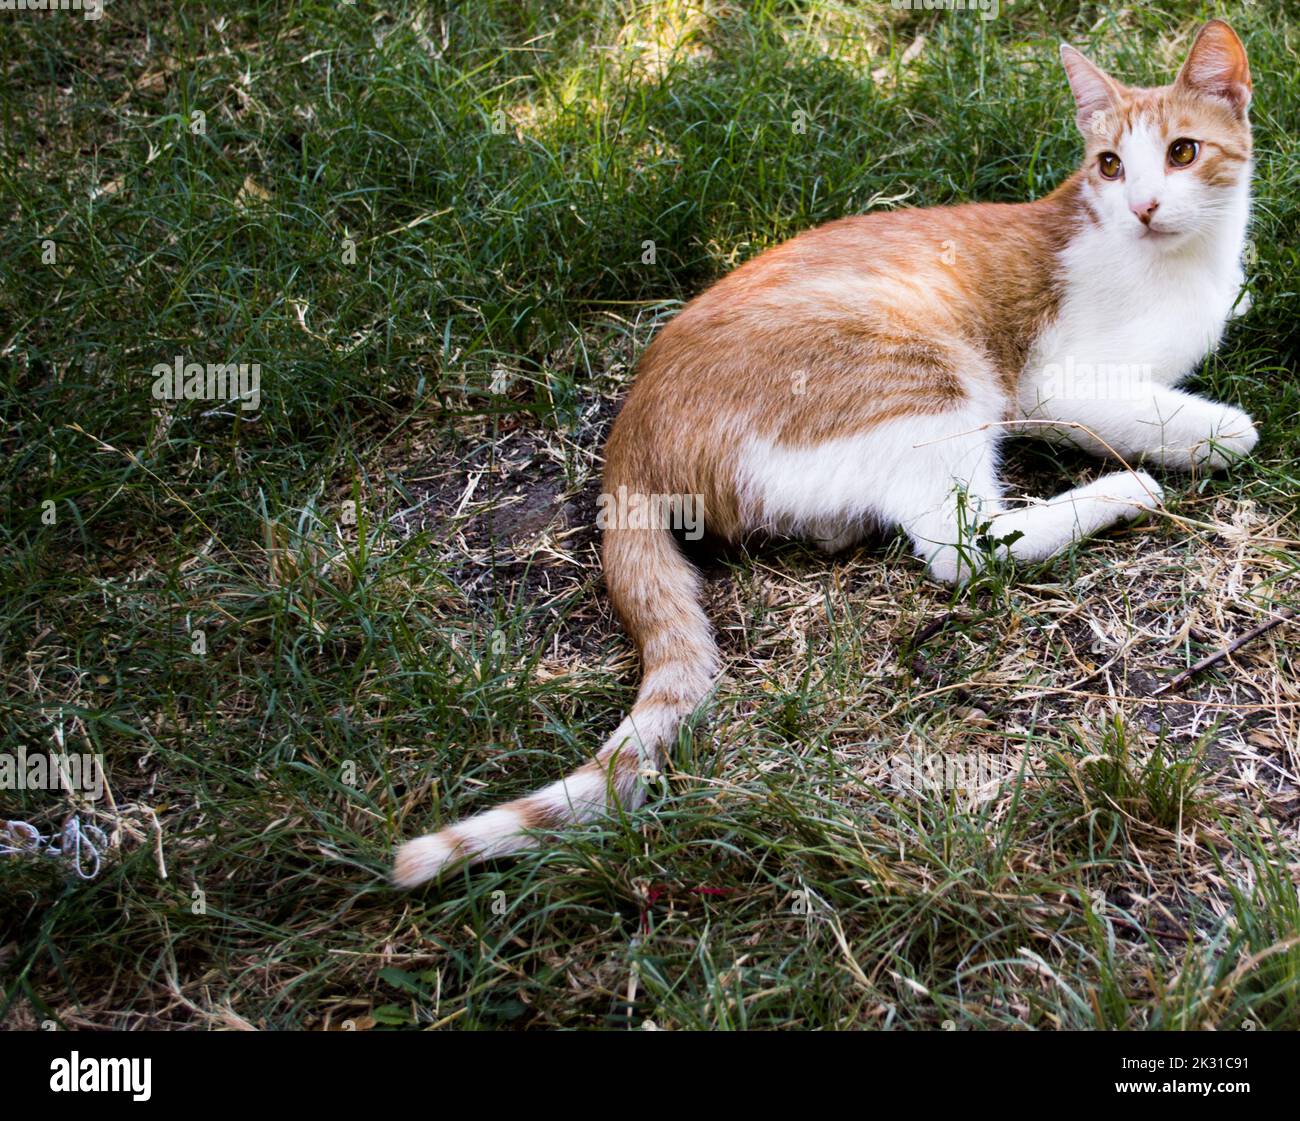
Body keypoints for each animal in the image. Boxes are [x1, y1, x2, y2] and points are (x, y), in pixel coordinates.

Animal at [390, 17, 1253, 889]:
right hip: (926, 376)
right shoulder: (1052, 383)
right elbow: (1185, 419)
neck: (1181, 265)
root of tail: (629, 434)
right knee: (962, 549)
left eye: (1181, 152)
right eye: (1109, 165)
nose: (1142, 205)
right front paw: (1209, 435)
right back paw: (1122, 492)